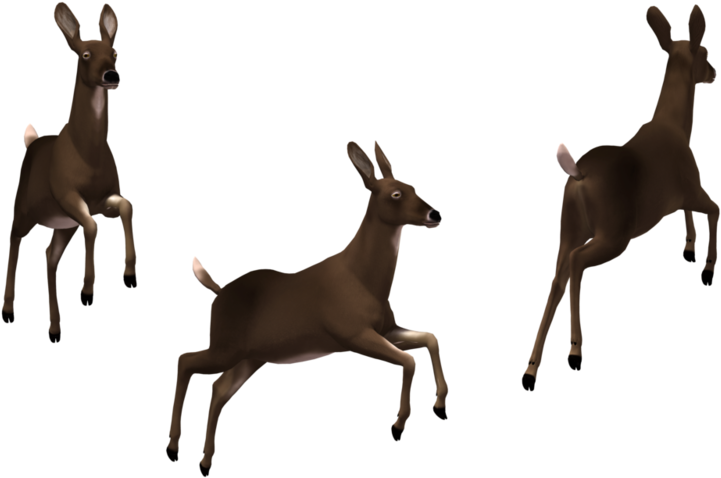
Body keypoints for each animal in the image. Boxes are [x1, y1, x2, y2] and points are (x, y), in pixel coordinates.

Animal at [1, 2, 137, 343]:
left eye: (115, 52)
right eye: (85, 54)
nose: (112, 75)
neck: (87, 156)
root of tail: (32, 141)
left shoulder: (102, 198)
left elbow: (125, 206)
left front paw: (129, 274)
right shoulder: (68, 195)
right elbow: (93, 226)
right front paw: (87, 289)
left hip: (63, 226)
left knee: (49, 256)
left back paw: (54, 329)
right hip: (26, 209)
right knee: (15, 238)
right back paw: (8, 310)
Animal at [165, 140, 448, 476]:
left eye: (413, 187)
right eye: (395, 194)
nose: (435, 213)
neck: (362, 279)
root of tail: (219, 292)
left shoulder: (385, 330)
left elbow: (430, 339)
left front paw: (440, 406)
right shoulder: (353, 334)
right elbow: (409, 361)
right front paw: (398, 426)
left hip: (250, 357)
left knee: (218, 389)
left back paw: (205, 463)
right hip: (226, 348)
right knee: (185, 360)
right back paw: (172, 449)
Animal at [521, 4, 718, 392]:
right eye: (705, 53)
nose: (714, 73)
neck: (676, 127)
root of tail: (578, 174)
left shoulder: (681, 195)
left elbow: (690, 213)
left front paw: (689, 250)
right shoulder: (693, 186)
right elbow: (716, 210)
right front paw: (707, 269)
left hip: (568, 228)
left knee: (556, 276)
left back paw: (530, 372)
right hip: (614, 234)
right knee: (577, 264)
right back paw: (575, 354)